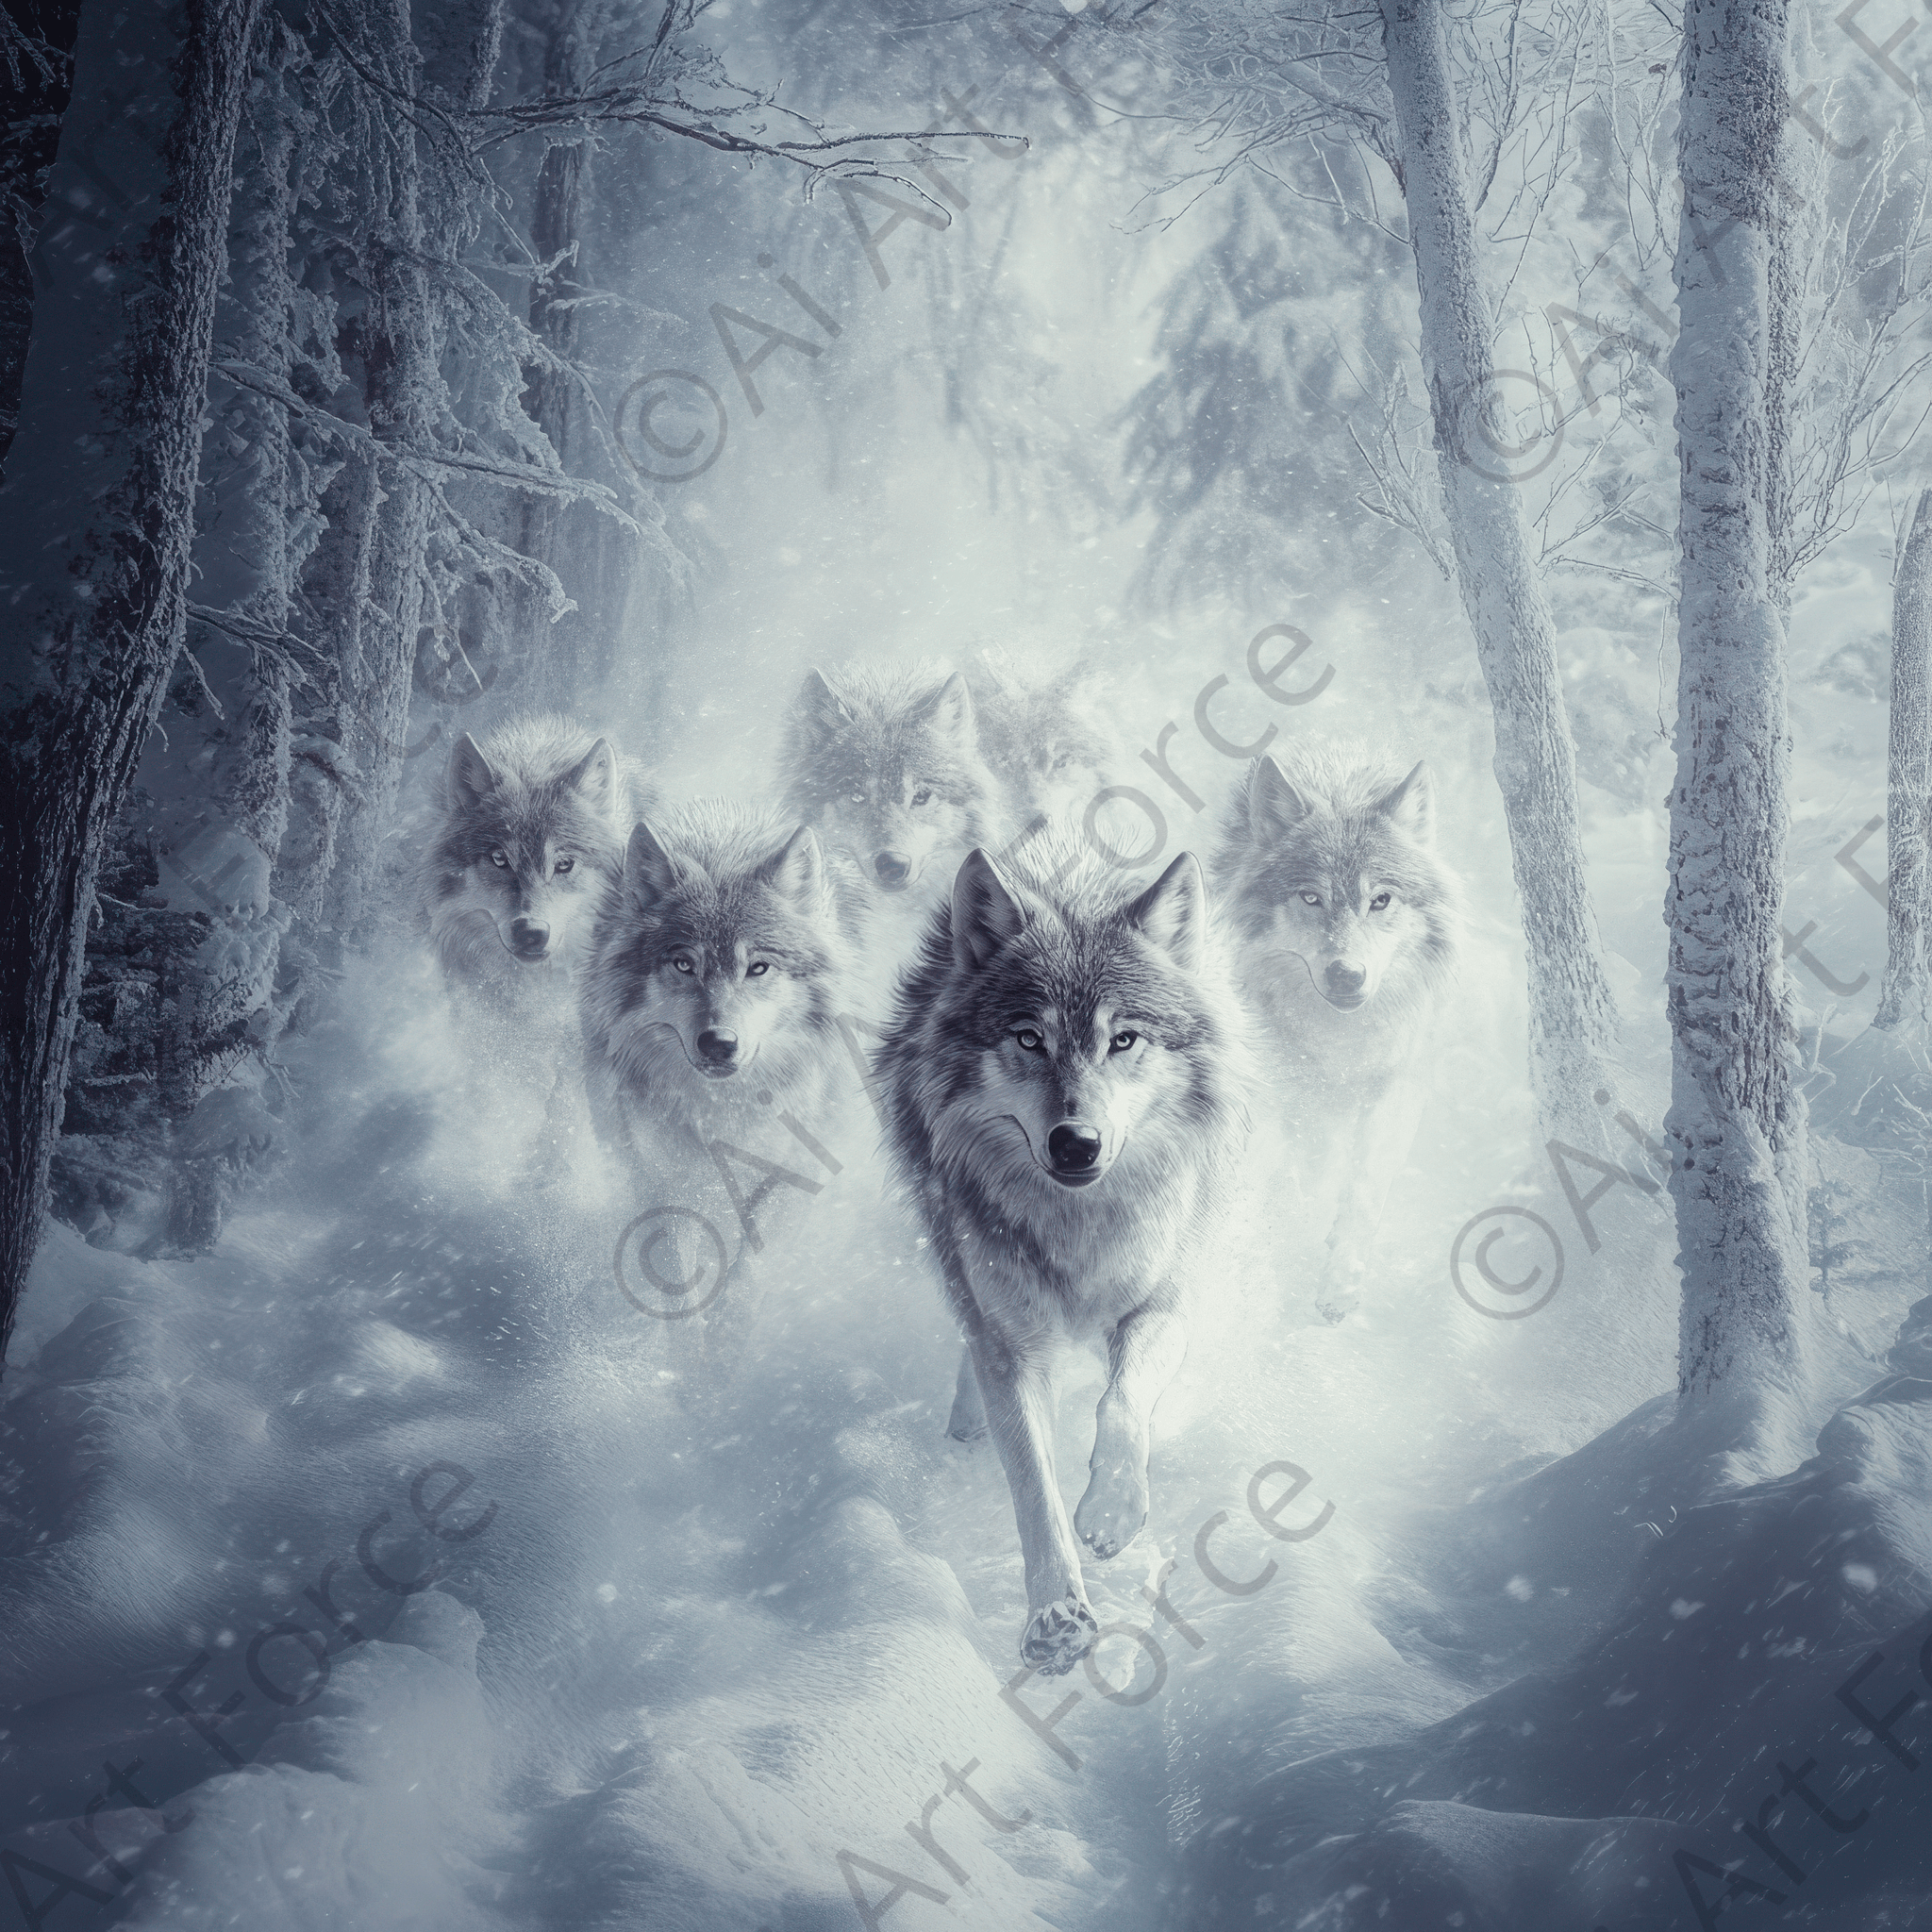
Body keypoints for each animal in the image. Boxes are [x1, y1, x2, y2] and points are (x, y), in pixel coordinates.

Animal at [878, 830, 1246, 1674]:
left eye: (1123, 1039)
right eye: (1028, 1038)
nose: (1075, 1143)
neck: (1079, 1226)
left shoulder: (1163, 1305)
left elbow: (1122, 1402)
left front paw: (1112, 1510)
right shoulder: (1013, 1348)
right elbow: (1032, 1492)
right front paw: (1055, 1619)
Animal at [1212, 743, 1461, 1323]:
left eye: (1381, 900)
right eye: (1310, 898)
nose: (1347, 975)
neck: (1342, 1040)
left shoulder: (1399, 1084)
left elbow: (1365, 1186)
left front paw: (1341, 1280)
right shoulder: (1301, 1097)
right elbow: (1317, 1173)